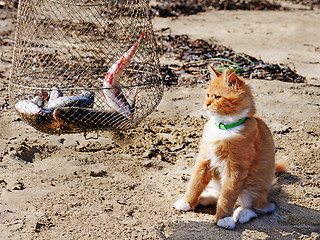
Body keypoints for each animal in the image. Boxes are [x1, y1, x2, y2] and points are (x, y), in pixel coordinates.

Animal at [174, 66, 286, 229]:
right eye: (207, 95)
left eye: (217, 97)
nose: (206, 104)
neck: (224, 127)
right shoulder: (204, 161)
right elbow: (195, 184)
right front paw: (187, 202)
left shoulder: (235, 169)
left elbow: (227, 196)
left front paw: (223, 218)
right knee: (218, 195)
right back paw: (204, 198)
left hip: (252, 187)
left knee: (261, 208)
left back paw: (242, 213)